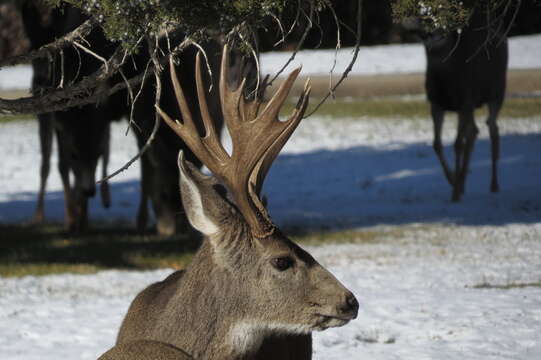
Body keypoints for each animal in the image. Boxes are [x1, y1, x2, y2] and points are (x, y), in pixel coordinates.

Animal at [424, 8, 508, 201]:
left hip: (496, 92)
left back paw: (494, 185)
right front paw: (453, 181)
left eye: (444, 17)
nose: (432, 34)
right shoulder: (436, 103)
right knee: (475, 131)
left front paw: (455, 192)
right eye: (422, 16)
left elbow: (457, 144)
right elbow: (436, 144)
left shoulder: (466, 100)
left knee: (492, 128)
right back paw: (463, 181)